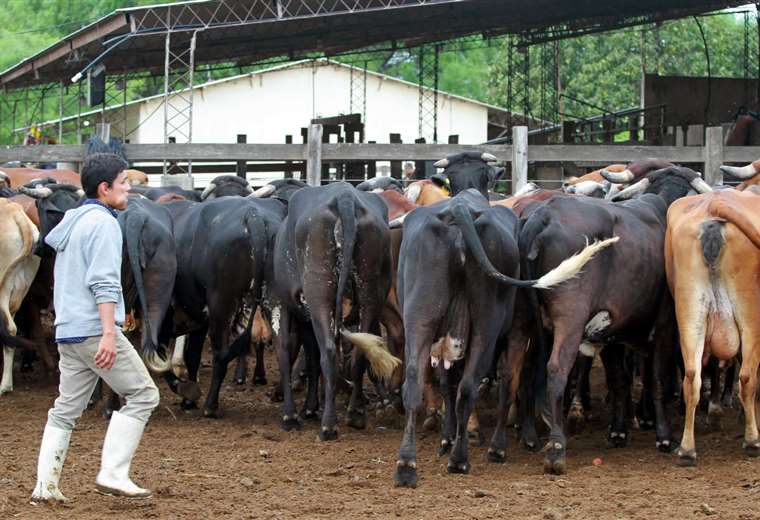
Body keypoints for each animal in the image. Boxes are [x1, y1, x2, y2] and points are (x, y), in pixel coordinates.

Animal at [270, 183, 400, 438]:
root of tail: (345, 197)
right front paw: (310, 407)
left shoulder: (283, 302)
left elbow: (286, 349)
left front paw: (291, 415)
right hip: (371, 294)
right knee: (358, 354)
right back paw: (355, 414)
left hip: (320, 295)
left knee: (329, 352)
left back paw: (328, 425)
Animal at [392, 188, 616, 488]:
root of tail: (459, 208)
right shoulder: (523, 329)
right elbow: (517, 380)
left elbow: (449, 383)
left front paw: (447, 439)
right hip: (487, 324)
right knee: (470, 387)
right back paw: (459, 459)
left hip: (420, 317)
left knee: (417, 383)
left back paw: (407, 465)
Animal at [516, 165, 712, 474]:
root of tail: (544, 214)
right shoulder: (665, 326)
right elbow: (656, 378)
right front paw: (663, 435)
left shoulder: (610, 333)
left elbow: (619, 380)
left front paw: (618, 430)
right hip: (570, 319)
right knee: (556, 369)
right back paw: (557, 449)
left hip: (534, 324)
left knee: (528, 371)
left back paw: (535, 435)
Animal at [668, 189, 760, 466]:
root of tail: (713, 205)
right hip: (750, 316)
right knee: (747, 377)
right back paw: (752, 441)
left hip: (690, 314)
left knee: (692, 377)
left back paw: (687, 450)